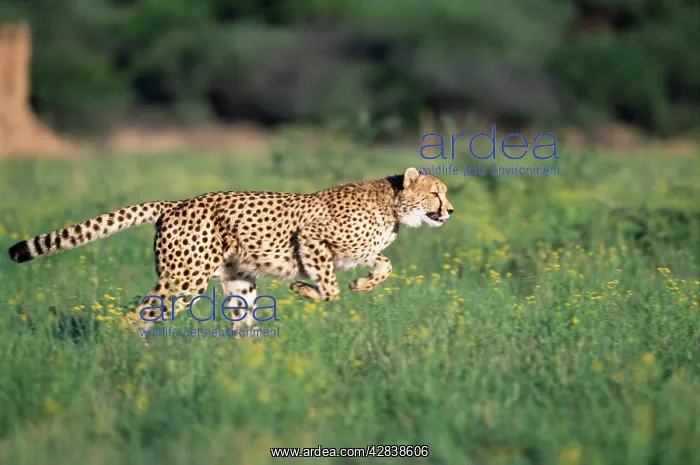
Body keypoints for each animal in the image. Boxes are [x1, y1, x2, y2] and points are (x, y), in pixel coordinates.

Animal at [8, 167, 454, 331]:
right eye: (436, 193)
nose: (449, 210)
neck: (393, 205)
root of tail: (177, 202)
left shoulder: (360, 252)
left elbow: (384, 266)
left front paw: (362, 285)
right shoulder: (311, 236)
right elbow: (328, 287)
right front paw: (304, 289)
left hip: (238, 282)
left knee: (242, 325)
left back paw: (249, 366)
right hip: (184, 280)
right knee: (137, 317)